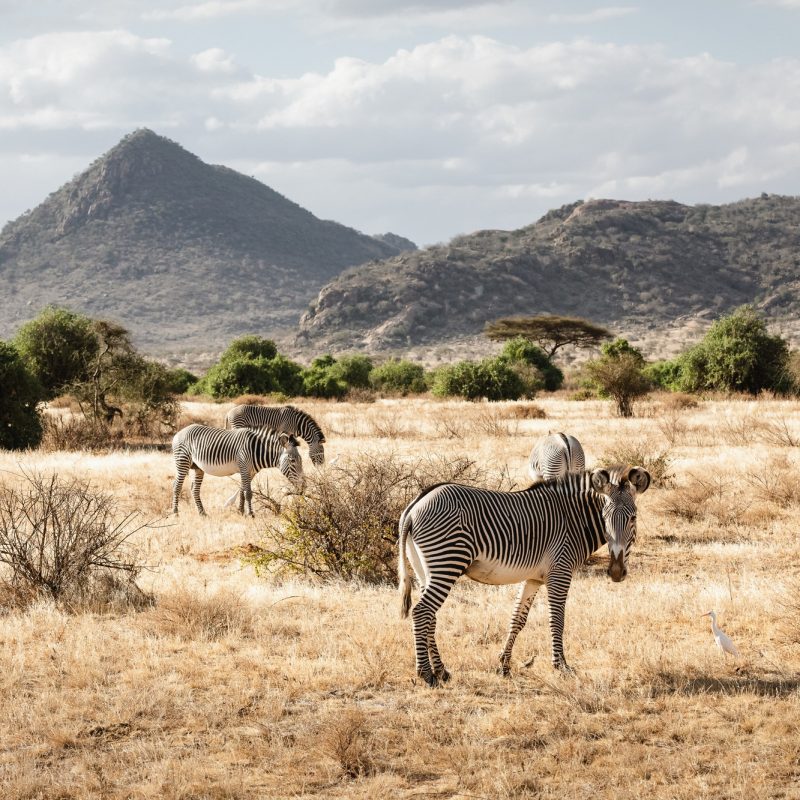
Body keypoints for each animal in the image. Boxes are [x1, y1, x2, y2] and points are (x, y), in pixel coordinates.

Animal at [171, 423, 304, 517]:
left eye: (301, 460)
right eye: (292, 461)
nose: (304, 486)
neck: (257, 449)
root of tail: (179, 432)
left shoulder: (250, 472)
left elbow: (242, 491)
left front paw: (240, 511)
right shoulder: (244, 467)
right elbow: (248, 493)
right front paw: (250, 514)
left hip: (197, 467)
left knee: (194, 489)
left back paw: (202, 513)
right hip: (182, 462)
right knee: (177, 486)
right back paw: (175, 512)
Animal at [398, 466, 650, 686]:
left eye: (633, 517)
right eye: (604, 517)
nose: (616, 572)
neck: (572, 519)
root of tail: (415, 505)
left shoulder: (534, 578)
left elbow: (517, 619)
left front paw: (504, 665)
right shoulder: (560, 571)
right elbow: (557, 619)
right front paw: (561, 666)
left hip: (425, 568)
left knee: (431, 616)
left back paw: (442, 671)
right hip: (447, 561)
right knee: (422, 612)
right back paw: (426, 674)